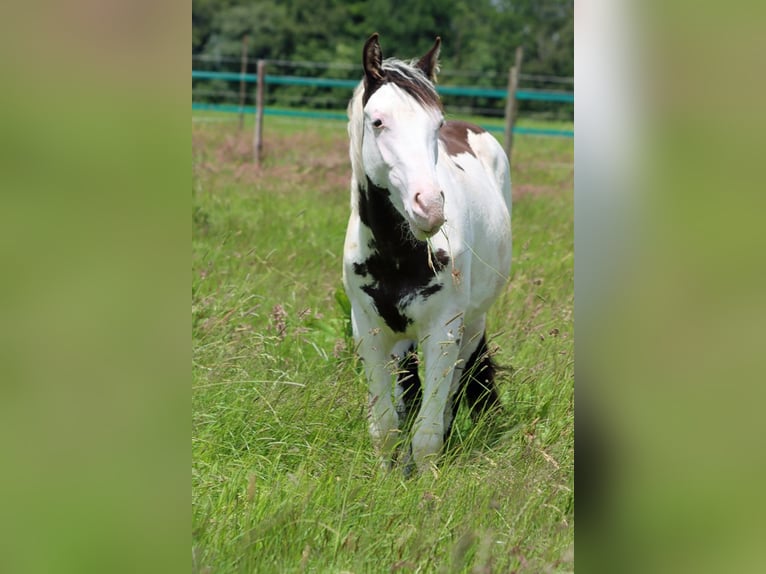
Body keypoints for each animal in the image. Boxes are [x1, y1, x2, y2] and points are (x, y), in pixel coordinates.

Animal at [342, 33, 512, 474]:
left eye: (435, 124)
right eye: (378, 121)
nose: (431, 207)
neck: (398, 255)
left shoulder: (443, 332)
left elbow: (429, 431)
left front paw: (426, 480)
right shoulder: (369, 331)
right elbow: (385, 422)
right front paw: (387, 476)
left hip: (471, 326)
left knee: (450, 394)